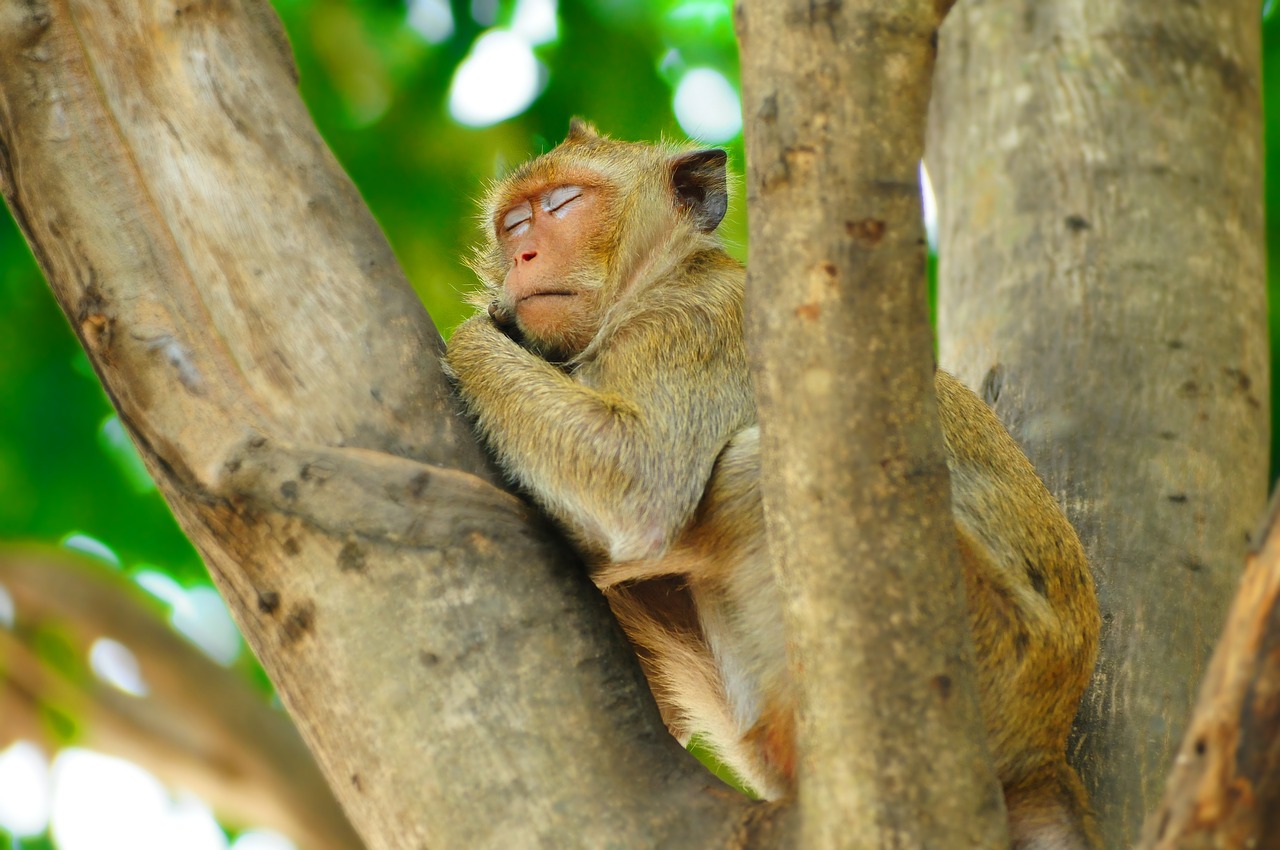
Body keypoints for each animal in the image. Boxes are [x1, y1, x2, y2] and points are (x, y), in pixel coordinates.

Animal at [442, 120, 1100, 850]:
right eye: (513, 224)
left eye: (562, 204)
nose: (523, 254)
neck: (657, 277)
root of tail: (1044, 746)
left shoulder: (689, 327)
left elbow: (643, 478)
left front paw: (477, 326)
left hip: (978, 646)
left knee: (753, 471)